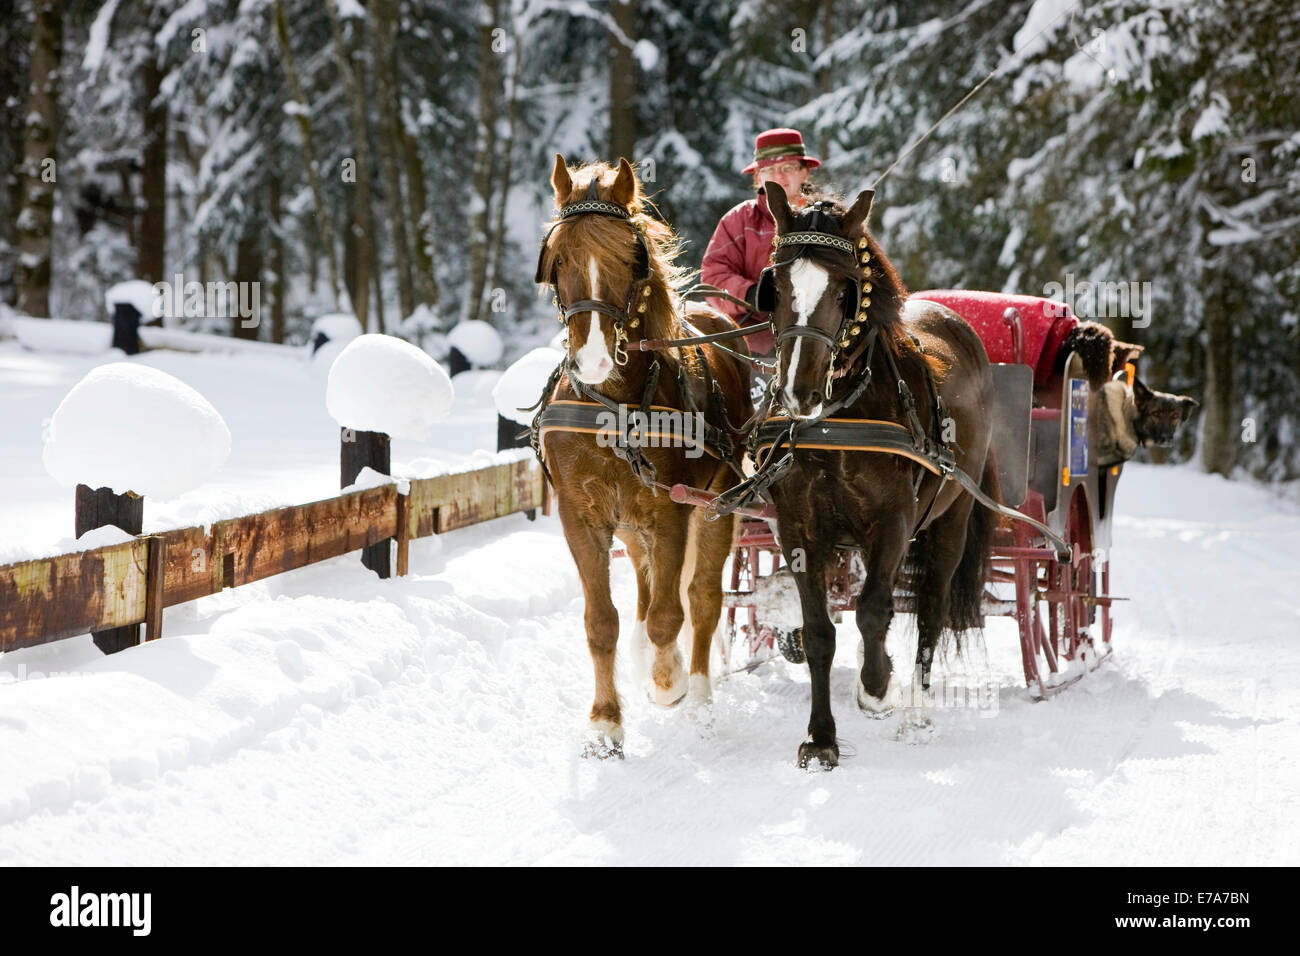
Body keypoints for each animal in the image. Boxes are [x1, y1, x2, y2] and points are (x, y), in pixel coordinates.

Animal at [530, 155, 754, 754]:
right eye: (559, 259)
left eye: (629, 259)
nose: (592, 360)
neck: (614, 403)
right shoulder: (581, 516)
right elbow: (601, 622)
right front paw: (605, 723)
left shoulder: (671, 509)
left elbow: (669, 616)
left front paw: (666, 681)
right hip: (632, 525)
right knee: (647, 590)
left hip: (716, 502)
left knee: (701, 599)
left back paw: (696, 695)